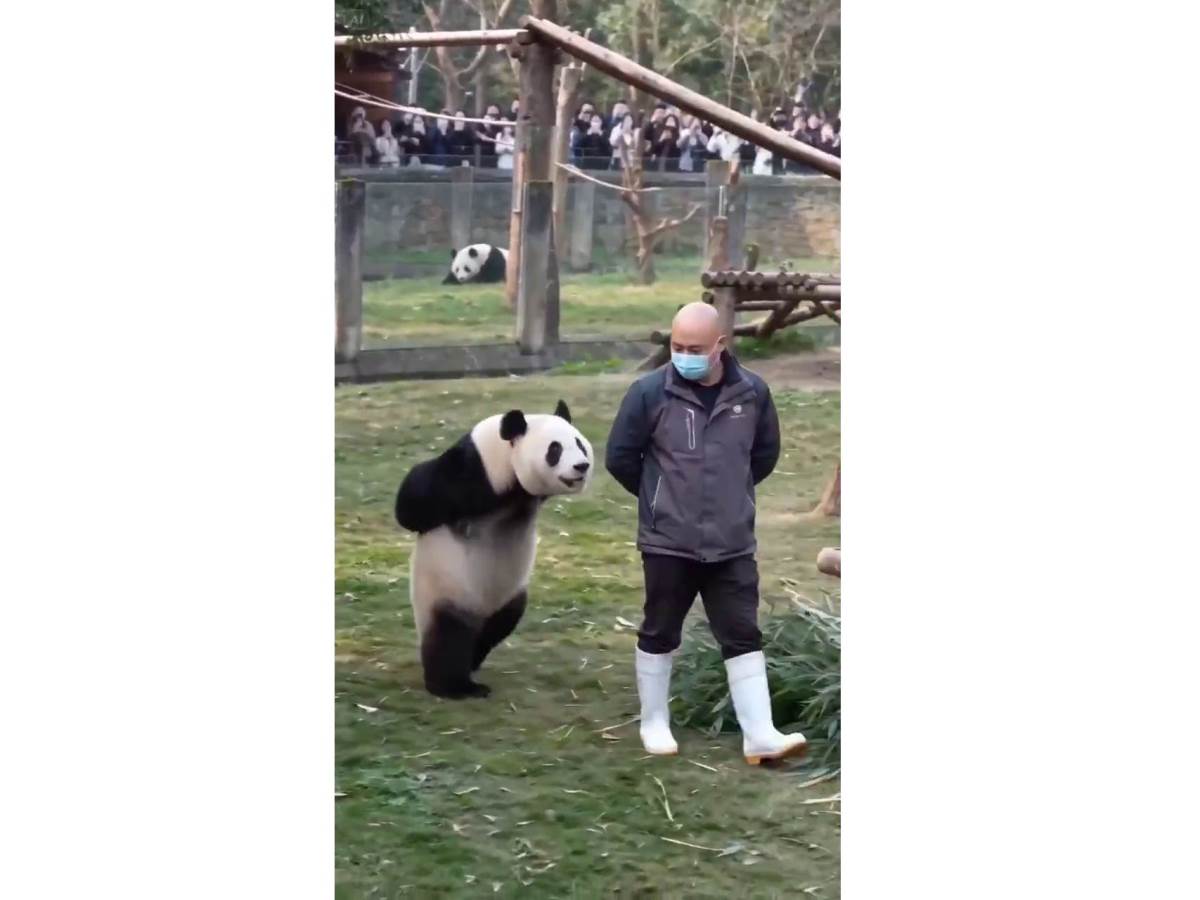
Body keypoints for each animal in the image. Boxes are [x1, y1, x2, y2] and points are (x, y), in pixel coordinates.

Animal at [394, 400, 594, 699]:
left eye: (579, 443)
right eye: (555, 449)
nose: (581, 466)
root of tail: (479, 612)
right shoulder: (472, 468)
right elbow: (411, 506)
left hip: (507, 597)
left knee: (499, 626)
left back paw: (474, 659)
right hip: (444, 592)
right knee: (448, 637)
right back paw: (455, 686)